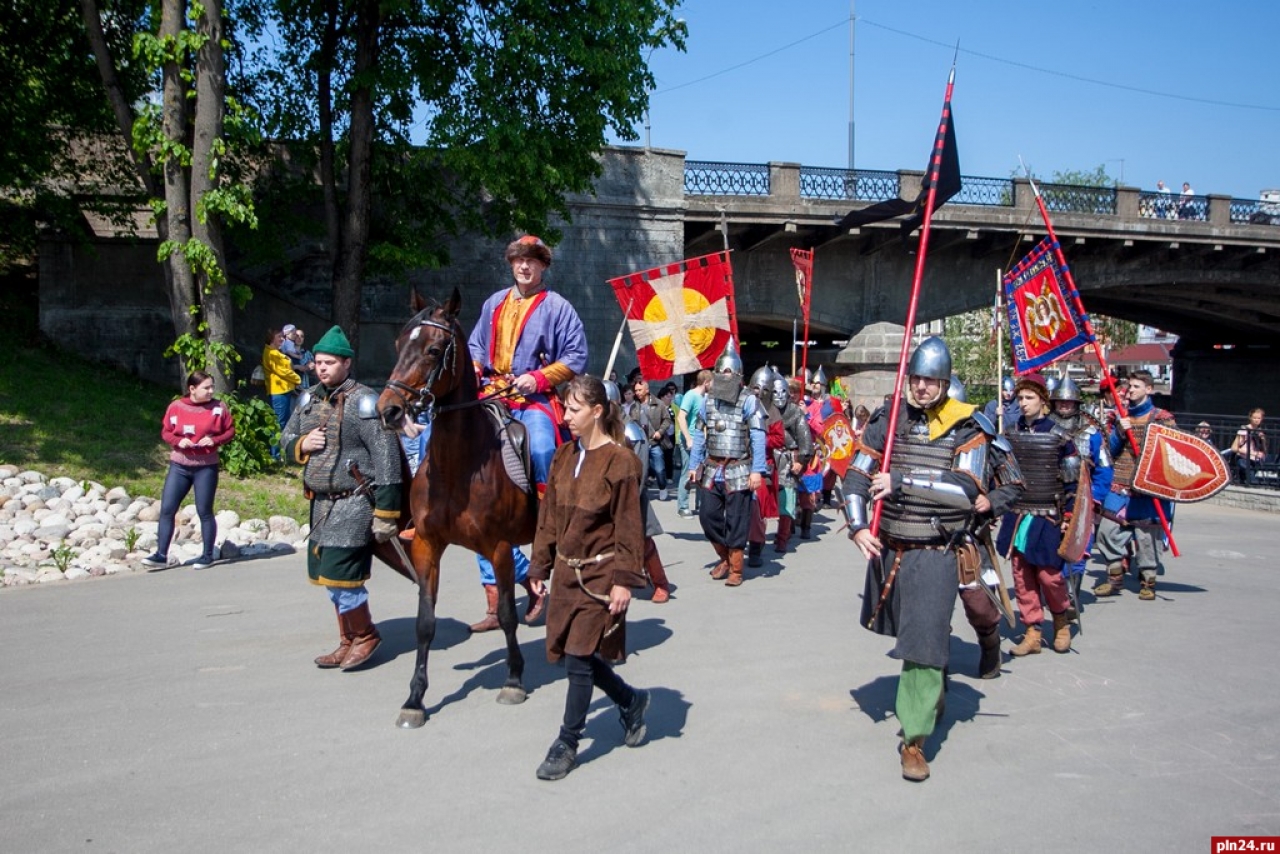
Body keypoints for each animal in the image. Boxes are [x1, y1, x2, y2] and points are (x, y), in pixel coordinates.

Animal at [373, 289, 537, 727]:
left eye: (433, 350)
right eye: (398, 343)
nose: (388, 410)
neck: (459, 466)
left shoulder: (499, 546)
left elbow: (507, 616)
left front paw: (514, 679)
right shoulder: (427, 545)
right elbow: (425, 622)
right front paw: (415, 698)